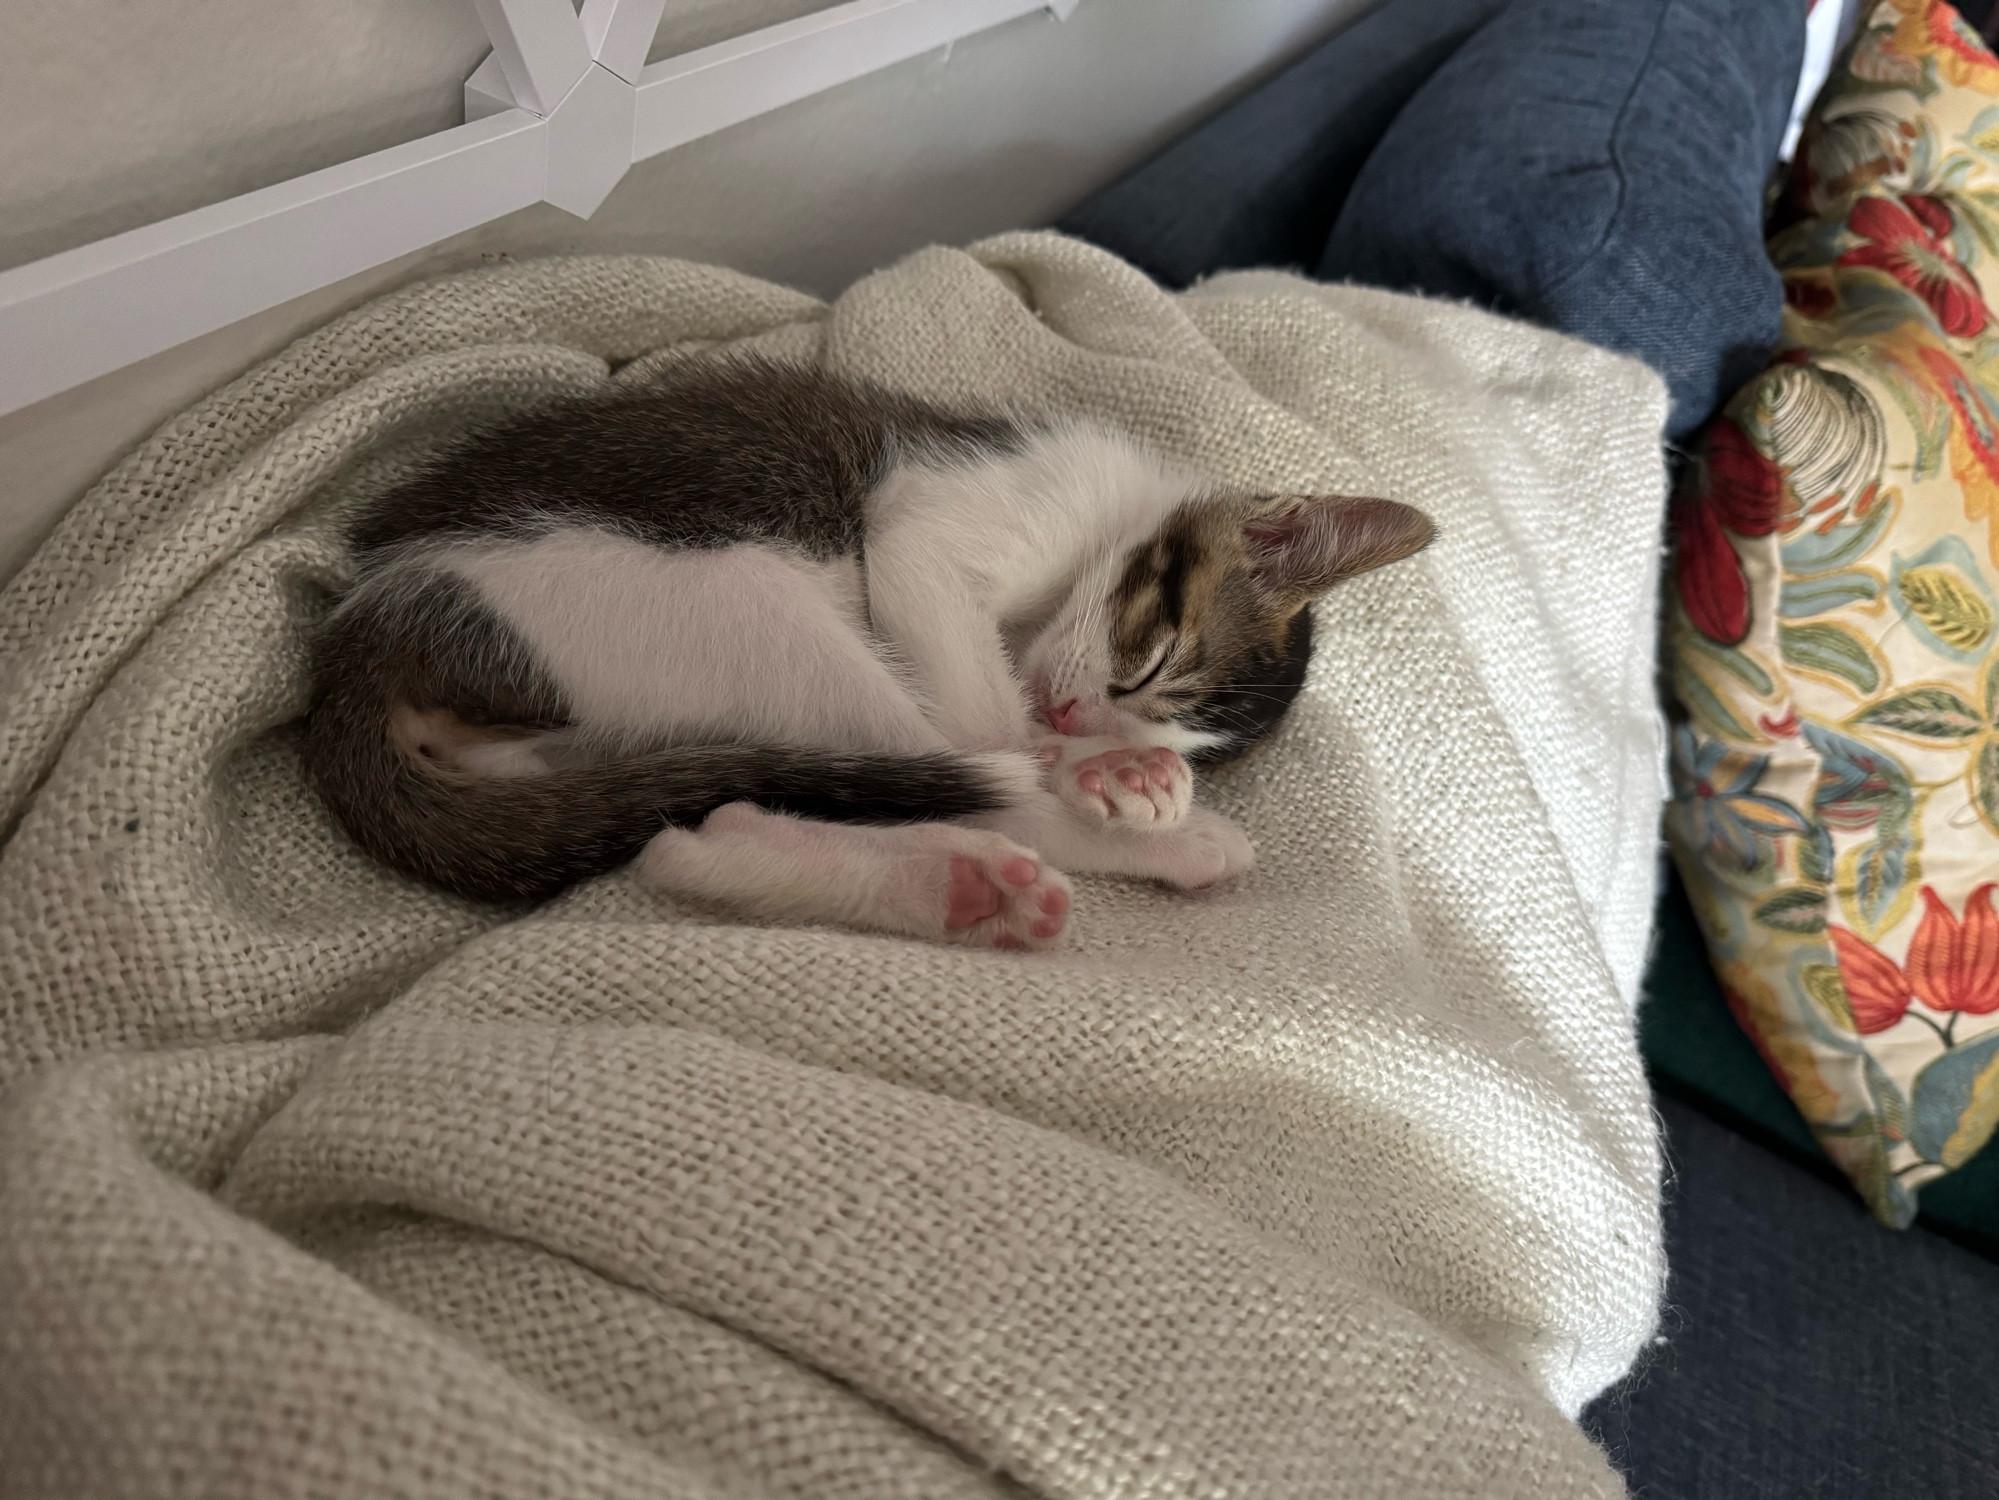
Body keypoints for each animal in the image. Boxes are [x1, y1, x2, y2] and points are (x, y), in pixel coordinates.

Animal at [303, 358, 1431, 952]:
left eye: (1163, 707)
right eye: (1149, 663)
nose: (1083, 723)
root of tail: (364, 619)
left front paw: (1121, 765)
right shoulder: (924, 525)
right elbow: (985, 718)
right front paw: (1105, 773)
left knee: (694, 818)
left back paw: (957, 889)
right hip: (730, 604)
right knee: (957, 778)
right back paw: (1125, 846)